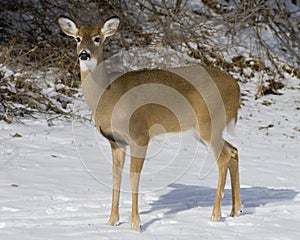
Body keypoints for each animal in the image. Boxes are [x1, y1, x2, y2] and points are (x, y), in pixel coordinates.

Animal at [58, 15, 241, 232]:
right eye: (77, 38)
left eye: (97, 38)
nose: (84, 54)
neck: (108, 96)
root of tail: (237, 87)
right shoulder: (116, 142)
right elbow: (116, 177)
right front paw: (111, 221)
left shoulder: (139, 135)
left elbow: (133, 176)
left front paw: (135, 224)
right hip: (202, 130)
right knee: (233, 151)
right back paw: (236, 210)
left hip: (210, 123)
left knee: (223, 157)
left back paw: (215, 214)